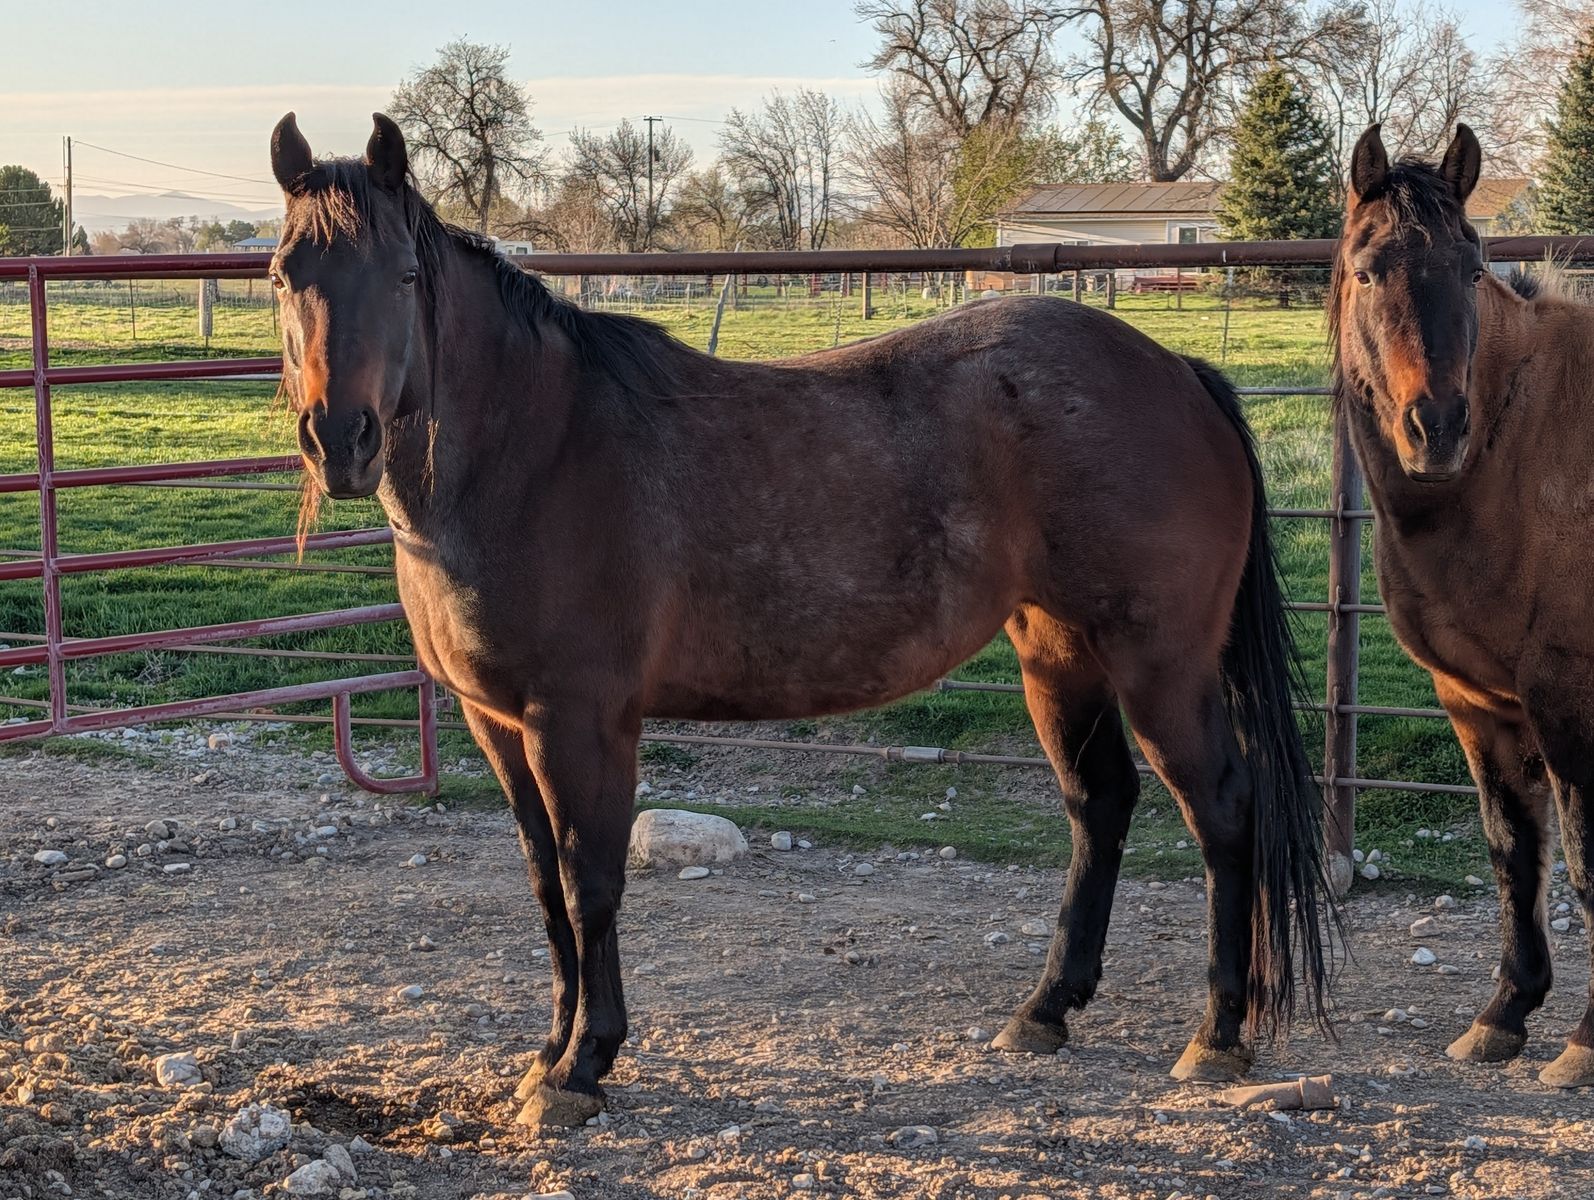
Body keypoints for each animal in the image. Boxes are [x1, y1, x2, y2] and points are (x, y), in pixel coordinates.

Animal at [268, 111, 1331, 1126]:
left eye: (405, 274)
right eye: (284, 275)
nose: (340, 440)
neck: (538, 448)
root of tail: (1177, 372)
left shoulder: (580, 722)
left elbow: (589, 881)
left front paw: (583, 1067)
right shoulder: (496, 721)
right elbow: (545, 888)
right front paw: (547, 1055)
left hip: (1160, 665)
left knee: (1222, 809)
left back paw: (1218, 1034)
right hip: (1058, 655)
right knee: (1099, 804)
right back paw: (1045, 1011)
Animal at [1332, 122, 1594, 1088]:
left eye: (1473, 266)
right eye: (1369, 269)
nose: (1436, 427)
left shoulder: (1571, 701)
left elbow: (1585, 862)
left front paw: (1587, 1042)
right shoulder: (1479, 705)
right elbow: (1515, 854)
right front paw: (1505, 1013)